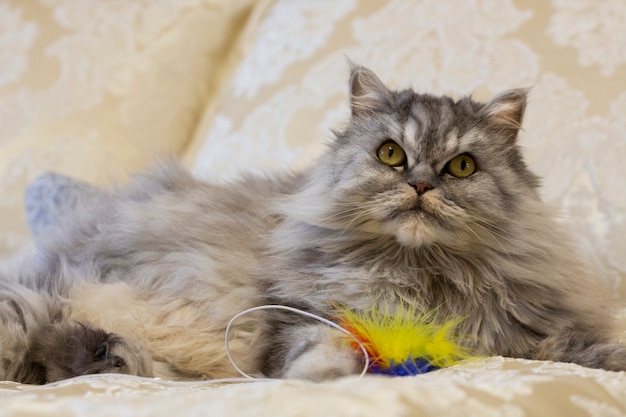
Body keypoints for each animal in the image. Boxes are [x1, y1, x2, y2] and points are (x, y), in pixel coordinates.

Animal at [0, 66, 620, 382]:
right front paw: (328, 373)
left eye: (462, 166)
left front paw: (613, 361)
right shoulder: (303, 315)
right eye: (391, 155)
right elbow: (320, 348)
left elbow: (577, 348)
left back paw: (101, 353)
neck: (419, 273)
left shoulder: (522, 334)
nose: (421, 186)